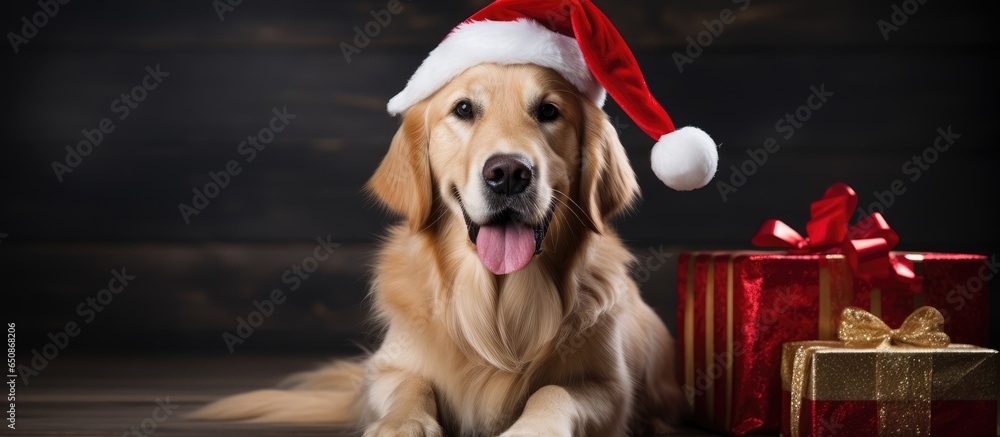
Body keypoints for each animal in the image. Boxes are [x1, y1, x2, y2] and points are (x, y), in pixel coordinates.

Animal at [191, 62, 684, 436]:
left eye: (549, 111)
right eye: (463, 109)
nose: (508, 173)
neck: (496, 305)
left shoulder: (611, 389)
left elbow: (554, 390)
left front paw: (532, 428)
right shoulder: (388, 367)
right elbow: (410, 386)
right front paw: (401, 426)